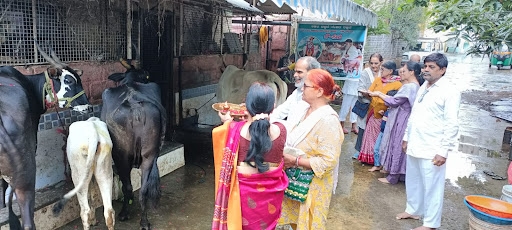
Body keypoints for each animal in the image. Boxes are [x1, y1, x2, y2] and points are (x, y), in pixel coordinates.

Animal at [102, 62, 168, 229]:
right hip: (149, 155)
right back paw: (144, 222)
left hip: (121, 156)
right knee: (143, 190)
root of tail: (135, 107)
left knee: (128, 187)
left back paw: (125, 213)